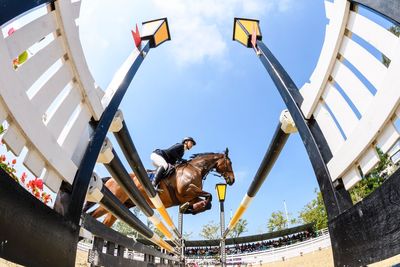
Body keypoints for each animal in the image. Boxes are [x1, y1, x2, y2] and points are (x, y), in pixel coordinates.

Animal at [84, 150, 234, 227]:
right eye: (230, 163)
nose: (232, 180)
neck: (195, 168)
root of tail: (110, 178)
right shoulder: (187, 191)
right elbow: (209, 197)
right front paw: (187, 209)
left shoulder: (191, 197)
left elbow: (207, 203)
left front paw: (188, 209)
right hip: (111, 200)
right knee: (93, 214)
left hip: (121, 206)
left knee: (104, 220)